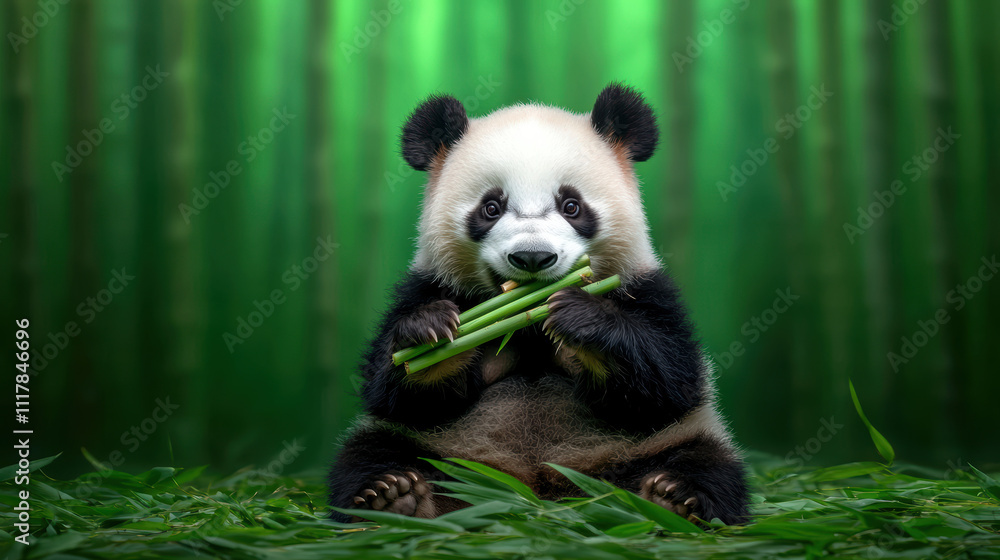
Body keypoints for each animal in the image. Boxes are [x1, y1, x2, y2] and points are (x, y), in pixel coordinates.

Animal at [328, 83, 749, 525]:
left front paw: (582, 319)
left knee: (706, 464)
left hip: (658, 442)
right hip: (437, 448)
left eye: (571, 206)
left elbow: (669, 380)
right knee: (369, 455)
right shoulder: (428, 284)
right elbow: (393, 391)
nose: (532, 257)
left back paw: (670, 499)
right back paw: (394, 496)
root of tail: (533, 488)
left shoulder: (645, 287)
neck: (524, 321)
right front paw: (431, 333)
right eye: (491, 207)